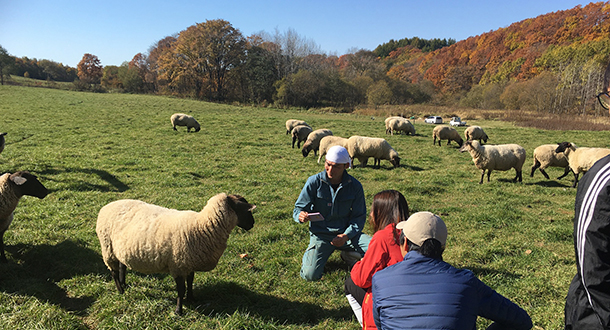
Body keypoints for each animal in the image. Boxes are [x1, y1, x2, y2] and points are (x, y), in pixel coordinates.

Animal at [95, 193, 256, 314]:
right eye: (246, 210)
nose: (252, 224)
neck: (201, 226)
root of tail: (107, 206)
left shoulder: (189, 264)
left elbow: (190, 282)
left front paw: (191, 299)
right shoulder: (178, 265)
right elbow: (181, 289)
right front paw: (179, 310)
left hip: (120, 249)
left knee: (122, 266)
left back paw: (124, 283)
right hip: (107, 248)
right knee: (113, 272)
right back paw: (121, 290)